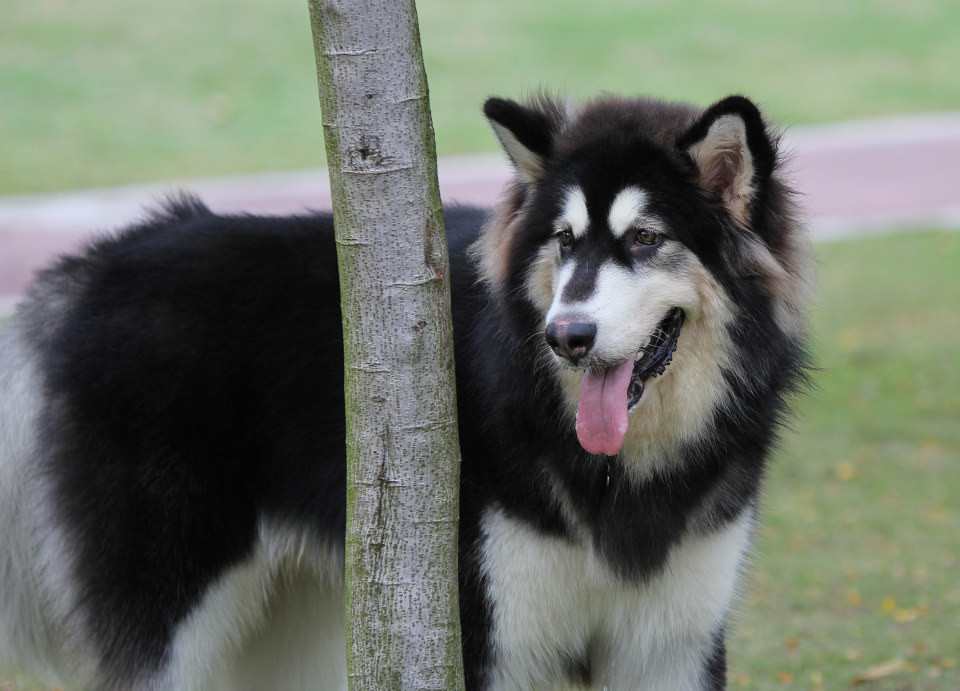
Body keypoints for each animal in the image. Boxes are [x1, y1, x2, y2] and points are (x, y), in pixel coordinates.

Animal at [0, 93, 808, 691]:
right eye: (565, 240)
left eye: (644, 237)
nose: (566, 336)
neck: (621, 471)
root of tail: (95, 264)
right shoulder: (488, 637)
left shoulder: (670, 643)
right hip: (177, 614)